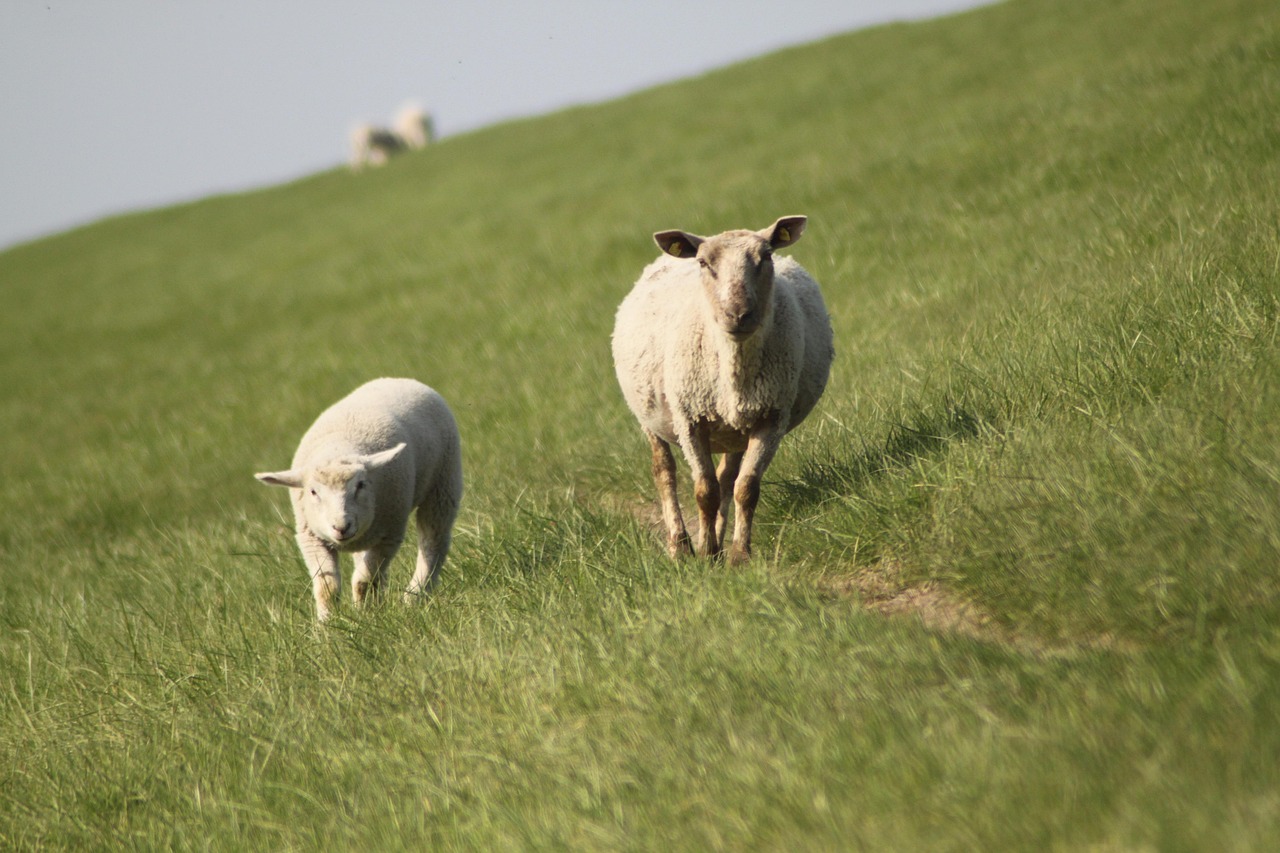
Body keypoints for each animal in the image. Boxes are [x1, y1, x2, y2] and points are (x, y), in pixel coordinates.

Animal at [256, 376, 465, 617]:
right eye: (313, 492)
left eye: (361, 485)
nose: (341, 526)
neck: (338, 448)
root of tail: (398, 379)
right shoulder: (310, 538)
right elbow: (327, 586)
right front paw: (327, 621)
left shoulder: (389, 535)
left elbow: (364, 582)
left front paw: (366, 615)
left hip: (443, 485)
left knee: (433, 542)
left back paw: (415, 596)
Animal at [611, 212, 834, 560]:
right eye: (703, 263)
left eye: (766, 256)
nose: (738, 314)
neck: (734, 370)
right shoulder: (689, 420)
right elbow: (705, 491)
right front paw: (705, 554)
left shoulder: (771, 417)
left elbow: (746, 488)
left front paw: (738, 556)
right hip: (649, 416)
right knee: (664, 472)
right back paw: (680, 545)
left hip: (735, 429)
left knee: (727, 478)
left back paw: (714, 539)